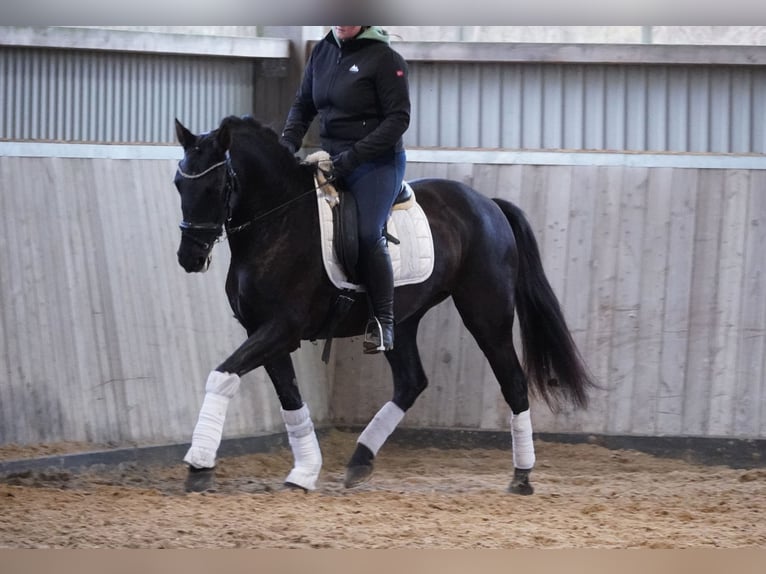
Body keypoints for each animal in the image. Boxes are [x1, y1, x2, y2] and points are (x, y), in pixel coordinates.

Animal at [176, 116, 600, 496]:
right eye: (179, 184)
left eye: (216, 186)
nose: (189, 257)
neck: (278, 222)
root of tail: (488, 205)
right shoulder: (262, 329)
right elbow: (288, 397)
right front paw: (305, 471)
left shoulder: (282, 328)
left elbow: (222, 376)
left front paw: (199, 465)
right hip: (402, 319)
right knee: (412, 381)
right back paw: (359, 461)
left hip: (487, 315)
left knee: (512, 381)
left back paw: (522, 477)